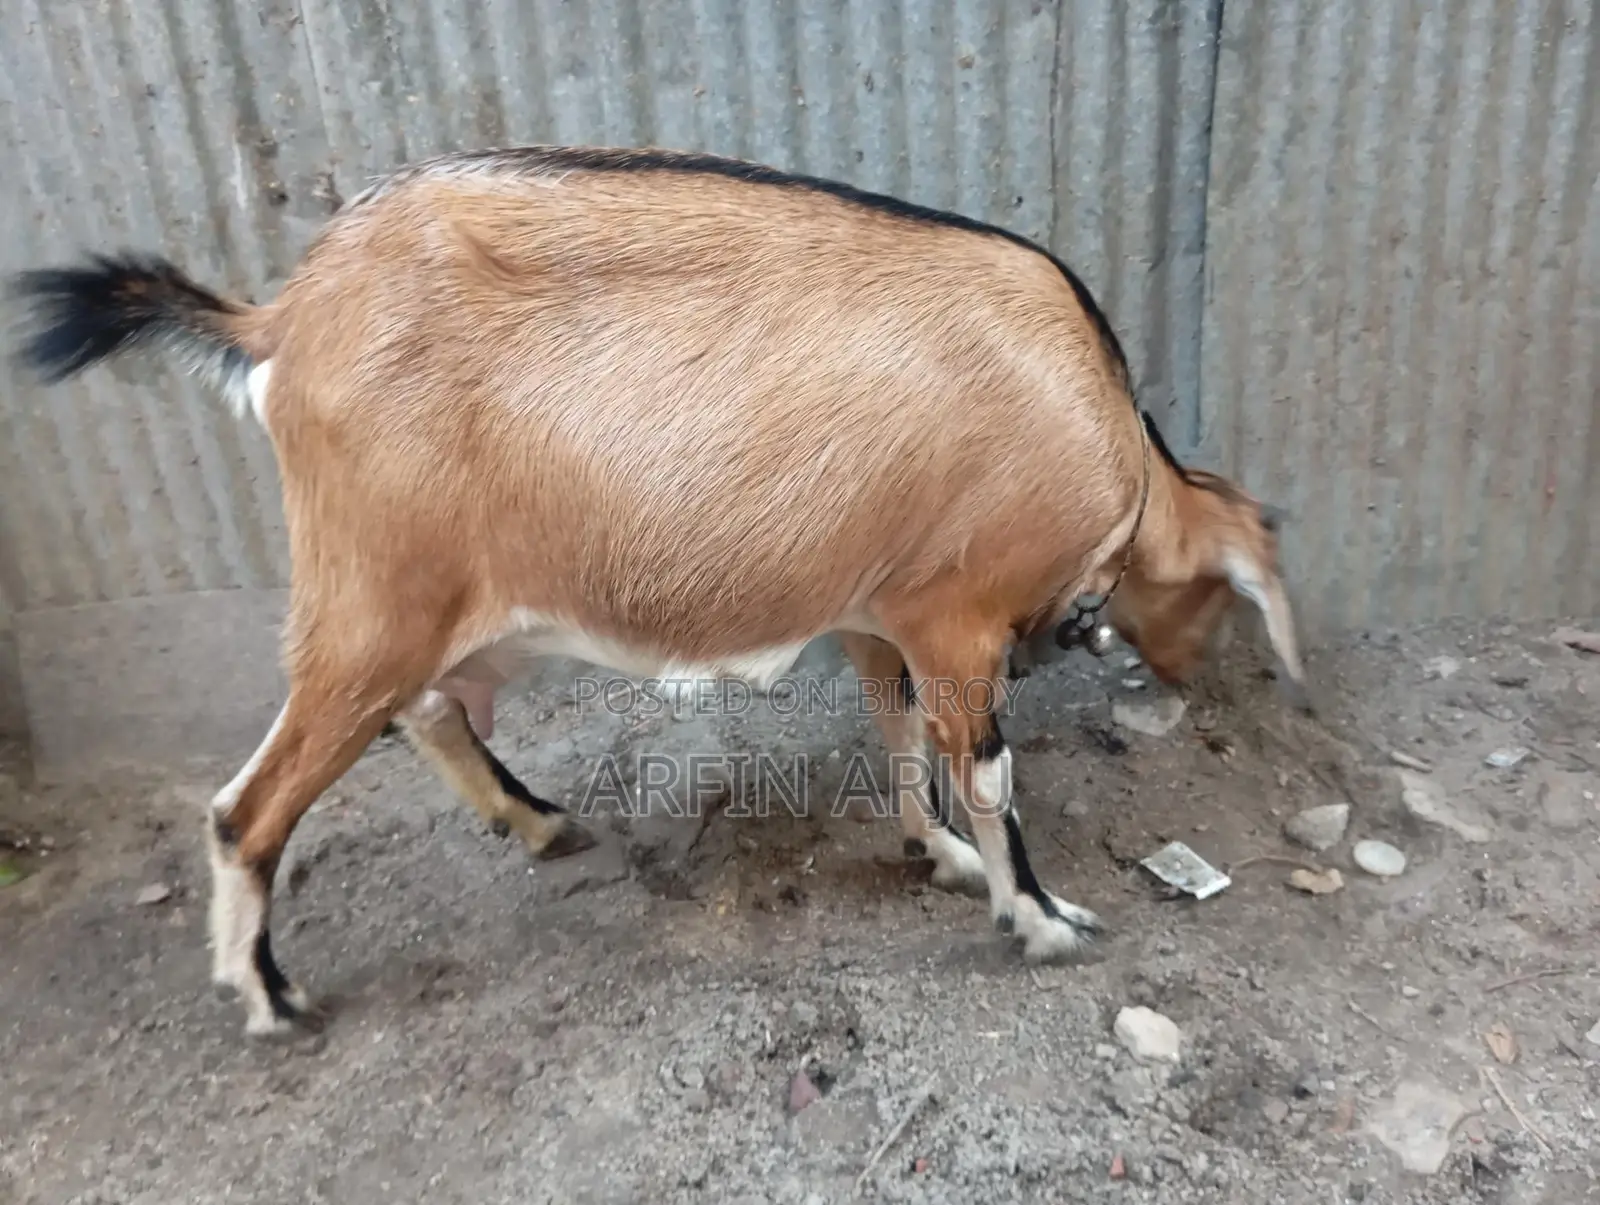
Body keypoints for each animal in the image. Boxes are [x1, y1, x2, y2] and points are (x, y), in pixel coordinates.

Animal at [10, 145, 1308, 1038]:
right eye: (1220, 602)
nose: (1189, 675)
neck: (1106, 436)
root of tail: (280, 318)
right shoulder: (956, 612)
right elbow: (986, 771)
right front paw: (1041, 919)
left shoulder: (877, 613)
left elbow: (899, 737)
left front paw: (933, 851)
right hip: (369, 596)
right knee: (253, 804)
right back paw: (272, 997)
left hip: (409, 598)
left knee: (425, 709)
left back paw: (538, 820)